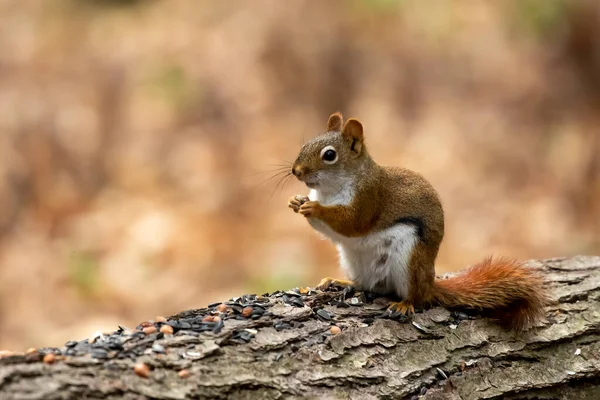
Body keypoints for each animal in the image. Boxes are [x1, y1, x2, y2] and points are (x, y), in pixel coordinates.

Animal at [288, 111, 552, 332]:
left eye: (329, 155)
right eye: (305, 144)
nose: (296, 171)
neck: (329, 191)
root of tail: (429, 284)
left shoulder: (369, 200)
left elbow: (351, 223)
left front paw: (314, 208)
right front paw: (296, 201)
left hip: (410, 260)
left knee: (413, 295)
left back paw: (405, 304)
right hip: (353, 261)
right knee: (367, 286)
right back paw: (340, 282)